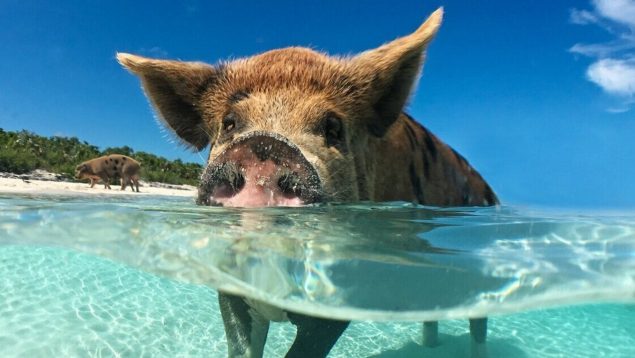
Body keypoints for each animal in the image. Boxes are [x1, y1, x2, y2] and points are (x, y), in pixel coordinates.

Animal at [118, 7, 496, 358]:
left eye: (333, 127)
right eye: (229, 123)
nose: (264, 145)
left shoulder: (342, 290)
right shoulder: (230, 285)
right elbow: (241, 344)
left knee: (479, 324)